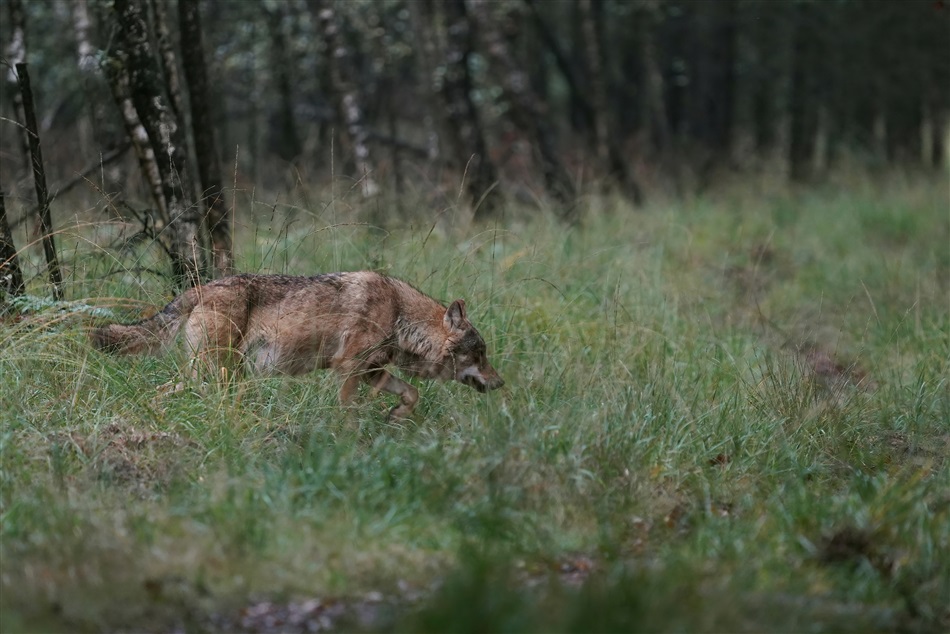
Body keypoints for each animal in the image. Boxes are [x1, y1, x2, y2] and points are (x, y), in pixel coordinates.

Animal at [90, 270, 506, 414]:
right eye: (481, 353)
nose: (501, 383)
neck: (399, 314)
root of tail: (199, 288)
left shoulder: (371, 372)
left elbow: (412, 393)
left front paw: (396, 416)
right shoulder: (348, 370)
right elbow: (348, 412)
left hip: (217, 376)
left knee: (158, 393)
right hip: (215, 373)